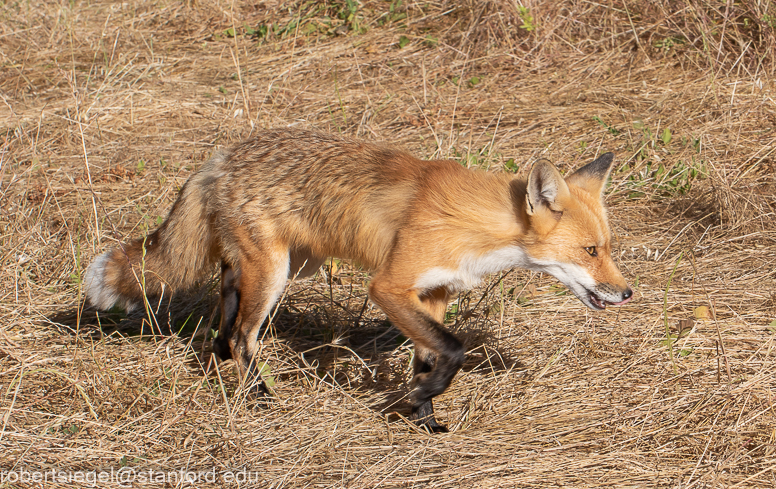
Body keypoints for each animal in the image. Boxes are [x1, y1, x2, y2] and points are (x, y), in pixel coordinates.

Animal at [84, 128, 632, 432]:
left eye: (607, 248)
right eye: (591, 251)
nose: (627, 292)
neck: (473, 225)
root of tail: (219, 158)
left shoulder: (434, 292)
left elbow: (429, 359)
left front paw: (423, 418)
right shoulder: (389, 286)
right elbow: (453, 351)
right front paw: (417, 403)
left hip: (280, 266)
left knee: (224, 318)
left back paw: (227, 368)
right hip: (274, 274)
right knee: (242, 337)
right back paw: (260, 398)